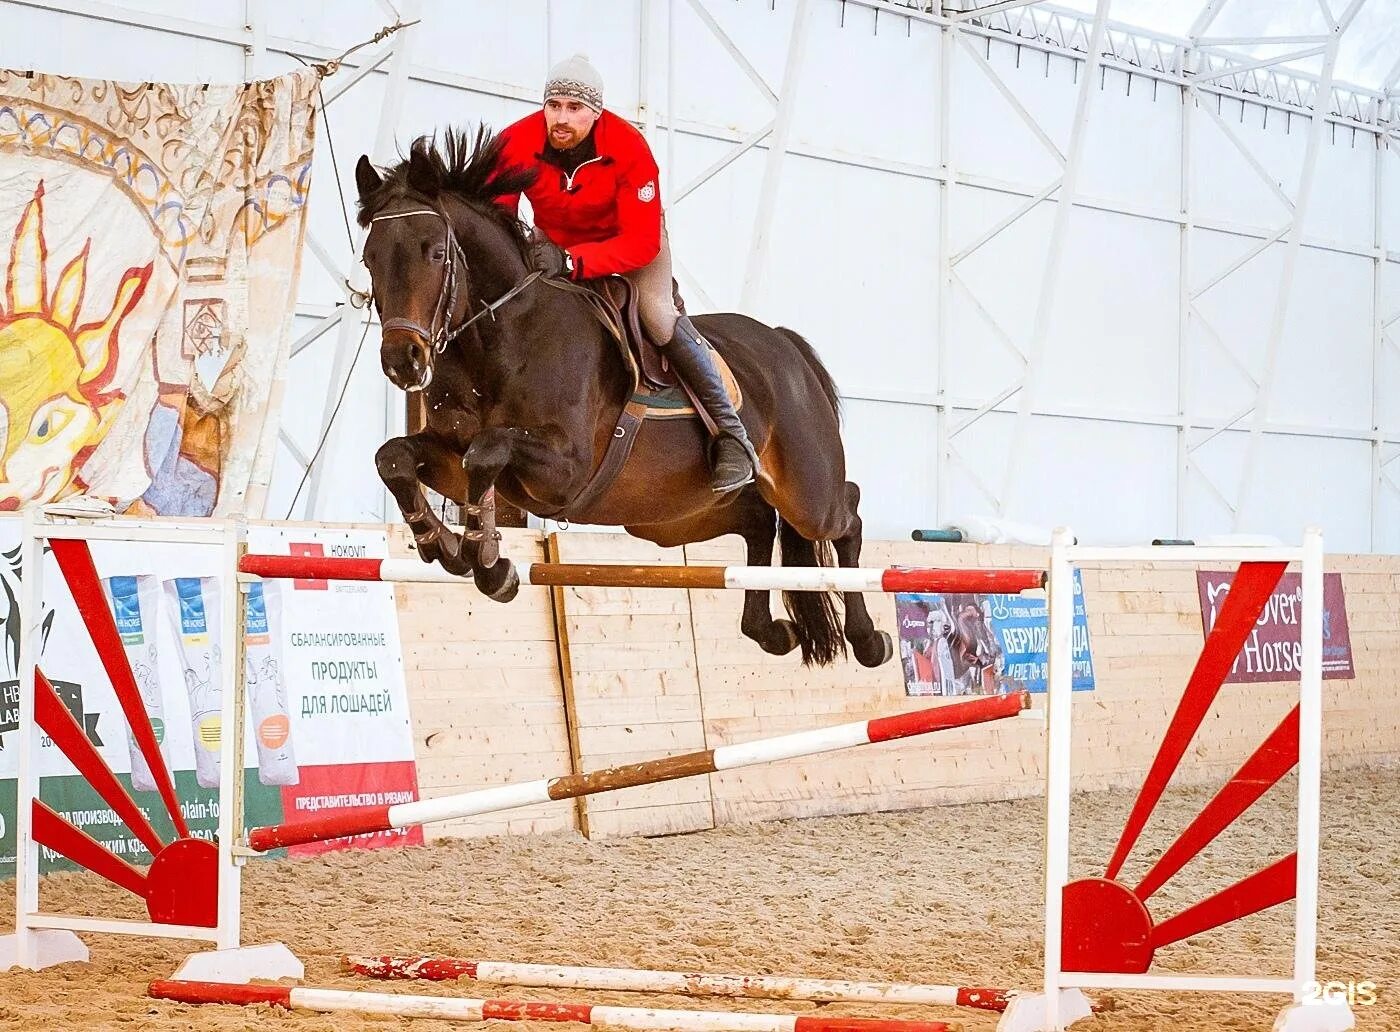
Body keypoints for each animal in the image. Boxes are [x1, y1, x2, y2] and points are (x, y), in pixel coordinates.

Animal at [355, 126, 890, 669]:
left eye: (435, 253)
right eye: (370, 258)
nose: (403, 360)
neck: (498, 339)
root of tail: (786, 345)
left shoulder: (565, 469)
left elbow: (487, 451)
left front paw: (486, 562)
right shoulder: (450, 449)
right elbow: (394, 458)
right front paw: (443, 546)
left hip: (807, 491)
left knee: (845, 513)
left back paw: (868, 639)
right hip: (671, 517)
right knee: (758, 521)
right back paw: (769, 629)